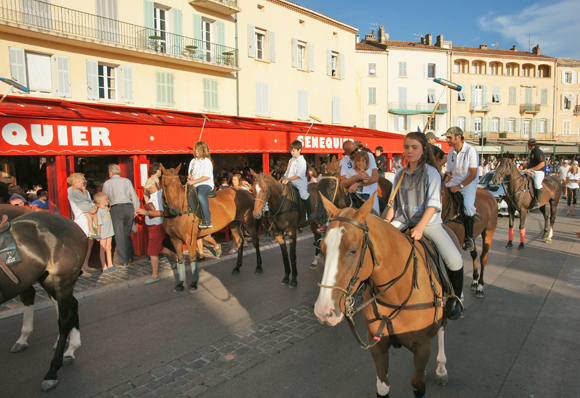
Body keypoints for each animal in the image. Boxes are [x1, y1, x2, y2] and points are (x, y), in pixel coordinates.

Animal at [0, 210, 88, 390]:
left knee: (64, 320)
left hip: (63, 278)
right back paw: (70, 350)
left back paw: (53, 370)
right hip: (46, 277)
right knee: (70, 305)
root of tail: (73, 224)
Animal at [312, 194, 454, 396]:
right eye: (322, 249)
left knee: (442, 327)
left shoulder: (423, 346)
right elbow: (383, 385)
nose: (323, 311)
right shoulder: (377, 346)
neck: (396, 293)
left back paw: (441, 369)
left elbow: (417, 383)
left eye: (353, 250)